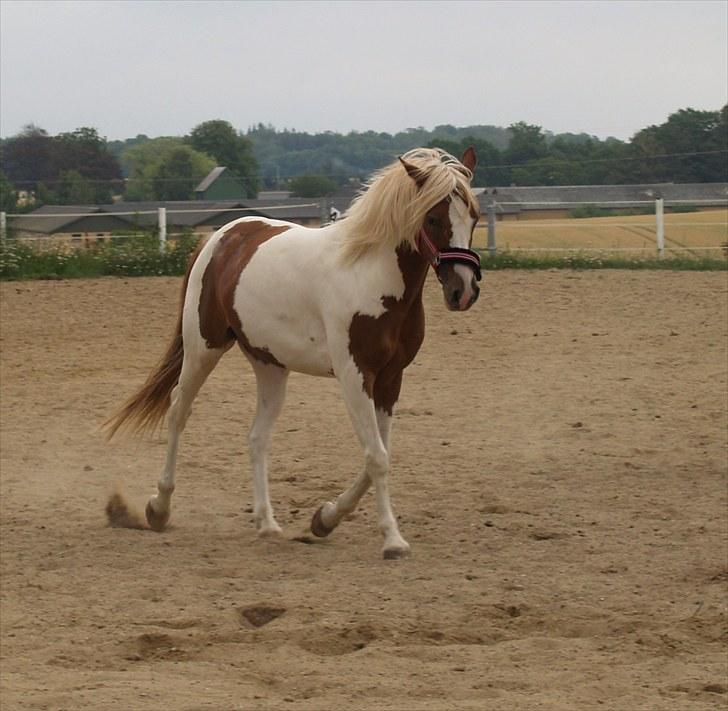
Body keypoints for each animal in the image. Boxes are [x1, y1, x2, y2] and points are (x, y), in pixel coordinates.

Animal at [105, 147, 484, 560]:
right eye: (432, 218)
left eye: (474, 216)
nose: (463, 291)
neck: (369, 274)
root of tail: (220, 238)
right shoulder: (354, 376)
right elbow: (377, 458)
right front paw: (392, 540)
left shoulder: (390, 378)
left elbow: (377, 456)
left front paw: (325, 518)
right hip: (202, 348)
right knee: (177, 412)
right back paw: (159, 509)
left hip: (269, 365)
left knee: (257, 436)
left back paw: (266, 523)